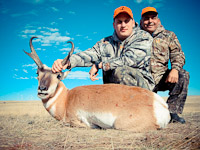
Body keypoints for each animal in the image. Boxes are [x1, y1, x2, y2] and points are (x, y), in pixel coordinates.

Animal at [23, 36, 170, 131]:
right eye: (37, 73)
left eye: (58, 76)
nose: (42, 89)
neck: (66, 99)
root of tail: (160, 103)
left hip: (119, 124)